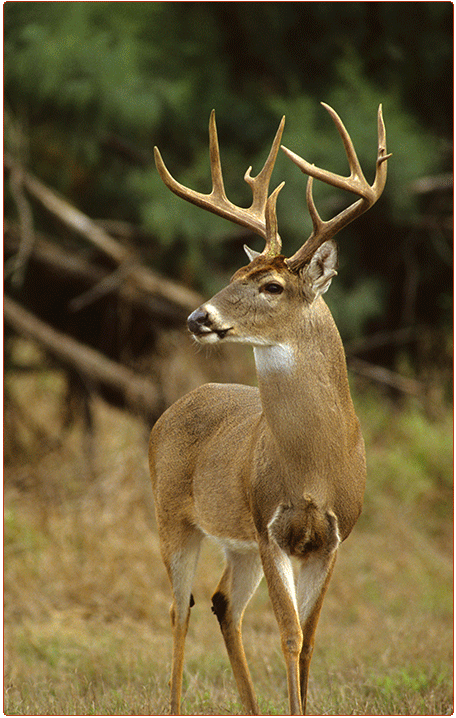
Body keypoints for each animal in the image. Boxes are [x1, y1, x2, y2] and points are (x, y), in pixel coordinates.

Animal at [149, 104, 388, 716]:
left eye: (273, 285)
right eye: (235, 277)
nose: (198, 318)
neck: (313, 467)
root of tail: (176, 406)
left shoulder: (333, 537)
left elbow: (310, 641)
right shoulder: (270, 526)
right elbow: (290, 635)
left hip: (239, 546)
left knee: (221, 604)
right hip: (175, 516)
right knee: (179, 609)